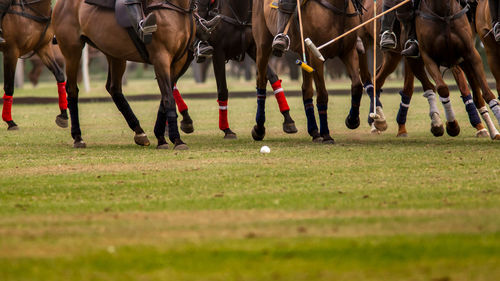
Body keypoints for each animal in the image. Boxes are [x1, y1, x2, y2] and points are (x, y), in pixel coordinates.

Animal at [0, 0, 68, 130]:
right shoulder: (11, 52)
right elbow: (9, 86)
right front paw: (10, 122)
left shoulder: (43, 48)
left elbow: (59, 75)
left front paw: (63, 116)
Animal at [53, 0, 195, 149]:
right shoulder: (161, 58)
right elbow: (168, 97)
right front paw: (176, 139)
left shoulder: (179, 61)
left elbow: (165, 96)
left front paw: (161, 137)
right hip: (72, 50)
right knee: (72, 89)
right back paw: (78, 137)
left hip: (114, 53)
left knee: (113, 88)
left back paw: (140, 133)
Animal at [254, 0, 364, 142]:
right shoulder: (316, 55)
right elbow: (322, 94)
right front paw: (326, 135)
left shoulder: (349, 51)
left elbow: (357, 85)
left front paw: (352, 120)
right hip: (263, 45)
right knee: (261, 81)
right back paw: (259, 129)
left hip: (303, 53)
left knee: (306, 89)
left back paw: (314, 132)